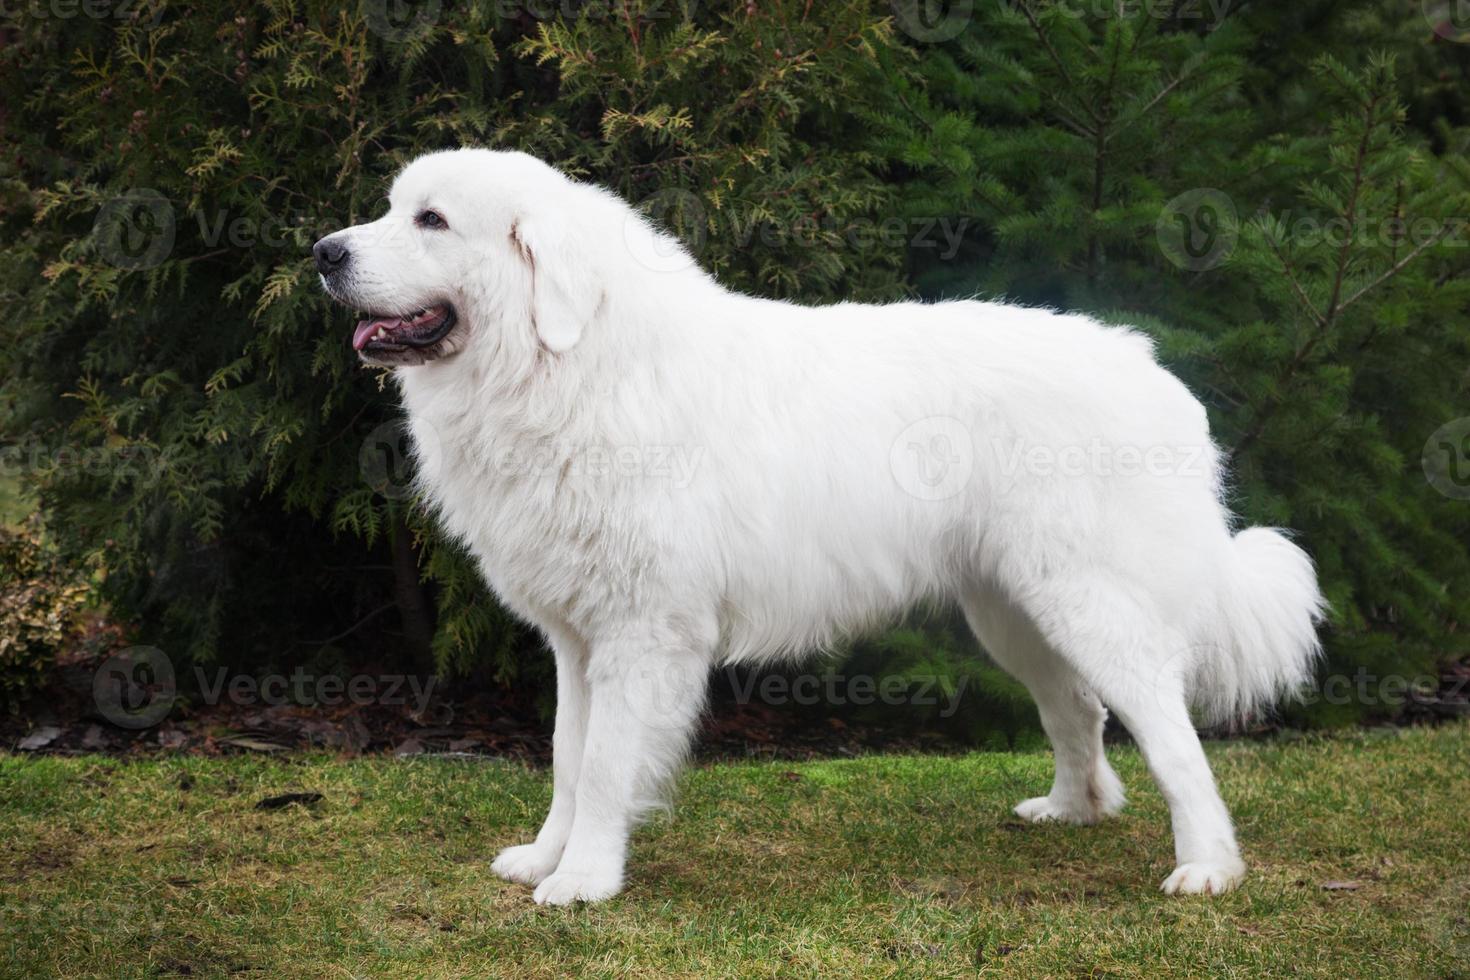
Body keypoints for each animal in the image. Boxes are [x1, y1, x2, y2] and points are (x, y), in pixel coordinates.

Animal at [316, 149, 1328, 910]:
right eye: (393, 209)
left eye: (431, 221)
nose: (323, 252)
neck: (566, 364)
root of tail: (1155, 371)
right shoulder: (577, 636)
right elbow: (568, 756)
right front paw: (545, 856)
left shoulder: (645, 633)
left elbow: (604, 767)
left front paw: (585, 881)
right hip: (1016, 612)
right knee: (1079, 710)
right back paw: (1070, 810)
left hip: (1091, 604)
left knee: (1174, 738)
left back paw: (1207, 868)